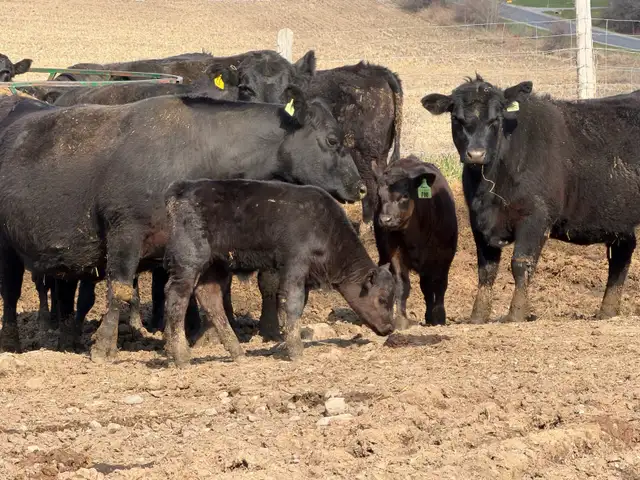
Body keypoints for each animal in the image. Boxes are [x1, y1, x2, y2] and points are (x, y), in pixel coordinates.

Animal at [0, 85, 365, 363]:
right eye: (333, 140)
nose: (360, 187)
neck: (196, 153)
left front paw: (194, 339)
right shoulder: (125, 232)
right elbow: (120, 290)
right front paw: (104, 348)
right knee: (11, 292)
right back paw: (12, 342)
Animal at [162, 179, 396, 366]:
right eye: (382, 299)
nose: (390, 328)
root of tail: (183, 188)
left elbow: (297, 307)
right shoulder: (294, 265)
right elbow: (292, 304)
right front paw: (296, 351)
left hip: (216, 264)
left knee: (209, 297)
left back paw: (238, 353)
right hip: (189, 261)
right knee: (177, 297)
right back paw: (182, 357)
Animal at [371, 155, 458, 329]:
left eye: (405, 195)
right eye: (379, 195)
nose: (385, 220)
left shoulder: (444, 255)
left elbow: (440, 284)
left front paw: (439, 317)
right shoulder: (395, 252)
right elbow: (401, 284)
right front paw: (401, 319)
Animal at [421, 74, 640, 324]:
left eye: (496, 119)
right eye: (456, 119)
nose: (476, 154)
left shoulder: (535, 217)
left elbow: (521, 264)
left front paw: (516, 313)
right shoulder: (478, 221)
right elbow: (486, 270)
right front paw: (477, 316)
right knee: (622, 254)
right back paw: (607, 312)